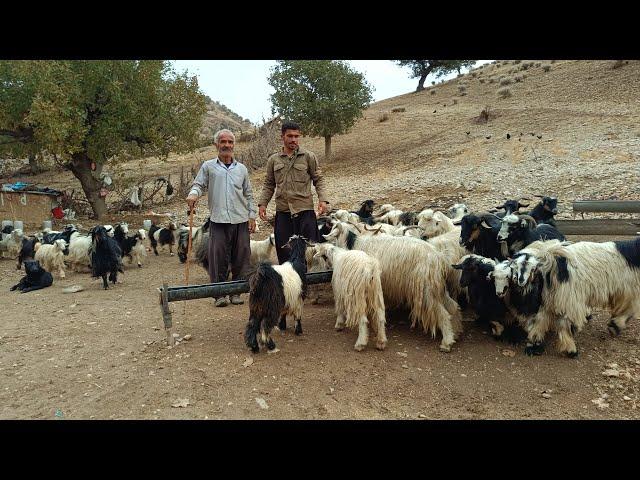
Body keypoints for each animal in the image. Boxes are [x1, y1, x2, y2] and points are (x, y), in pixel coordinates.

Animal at [324, 221, 460, 352]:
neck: (355, 243)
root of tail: (439, 257)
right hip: (438, 288)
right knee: (453, 306)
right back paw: (456, 333)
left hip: (426, 290)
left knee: (443, 314)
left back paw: (446, 343)